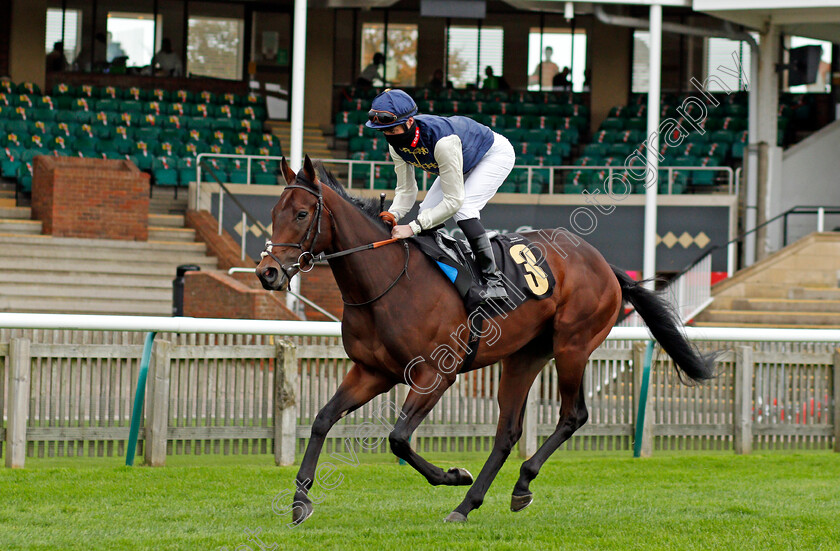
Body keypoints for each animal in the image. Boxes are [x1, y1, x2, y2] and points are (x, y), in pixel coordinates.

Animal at [256, 156, 716, 528]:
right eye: (273, 213)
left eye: (301, 213)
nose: (268, 272)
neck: (388, 281)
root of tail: (605, 264)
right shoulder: (372, 372)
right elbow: (321, 419)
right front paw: (300, 501)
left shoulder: (435, 374)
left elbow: (399, 438)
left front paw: (453, 475)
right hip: (524, 357)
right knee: (507, 432)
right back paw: (468, 504)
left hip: (573, 345)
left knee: (573, 415)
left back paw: (519, 485)